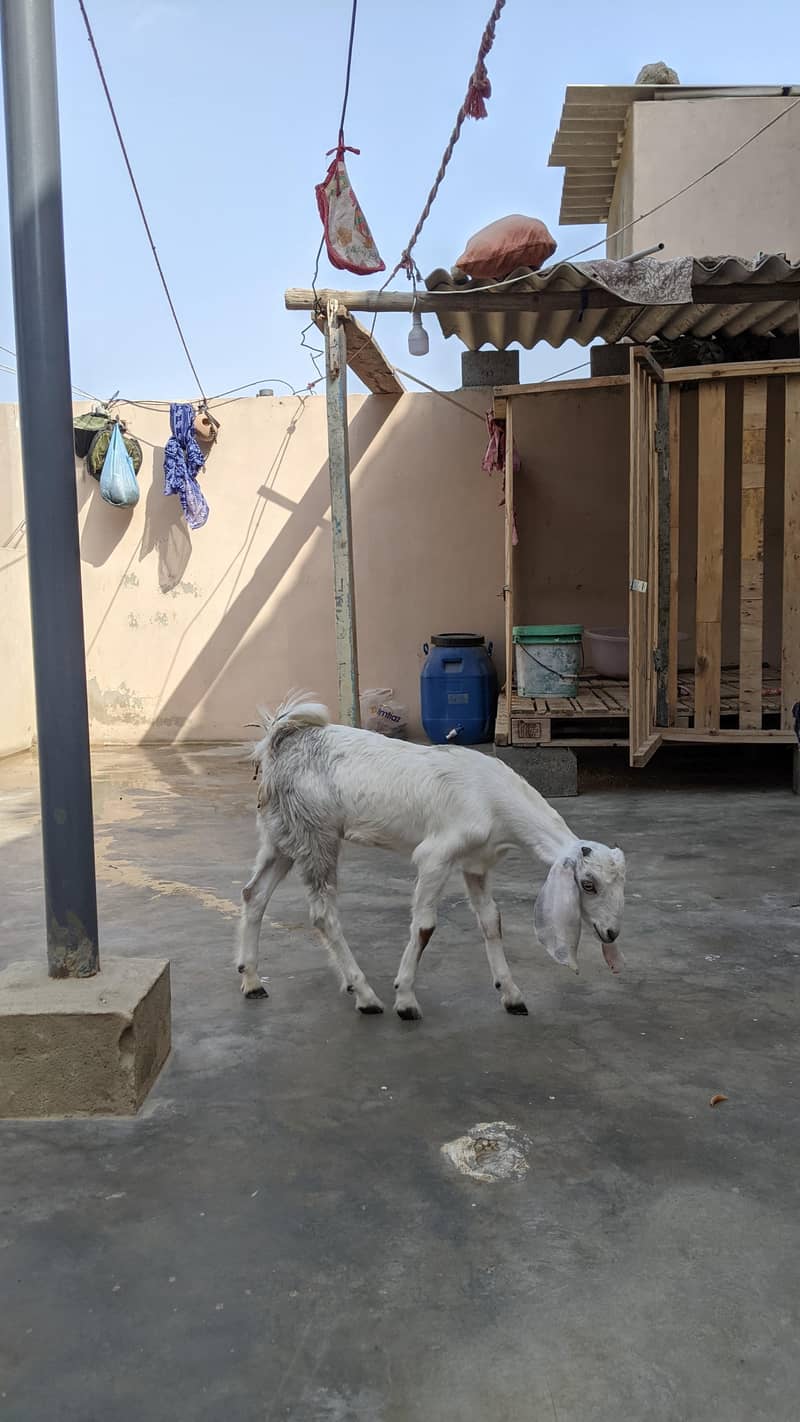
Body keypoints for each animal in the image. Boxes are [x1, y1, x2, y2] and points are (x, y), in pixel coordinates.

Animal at [236, 694, 626, 1020]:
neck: (492, 799)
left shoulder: (476, 864)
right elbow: (425, 926)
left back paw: (252, 980)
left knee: (254, 893)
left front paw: (512, 995)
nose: (611, 933)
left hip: (281, 834)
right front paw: (406, 999)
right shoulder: (436, 856)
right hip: (317, 834)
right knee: (322, 914)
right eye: (588, 885)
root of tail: (281, 740)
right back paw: (365, 995)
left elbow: (491, 921)